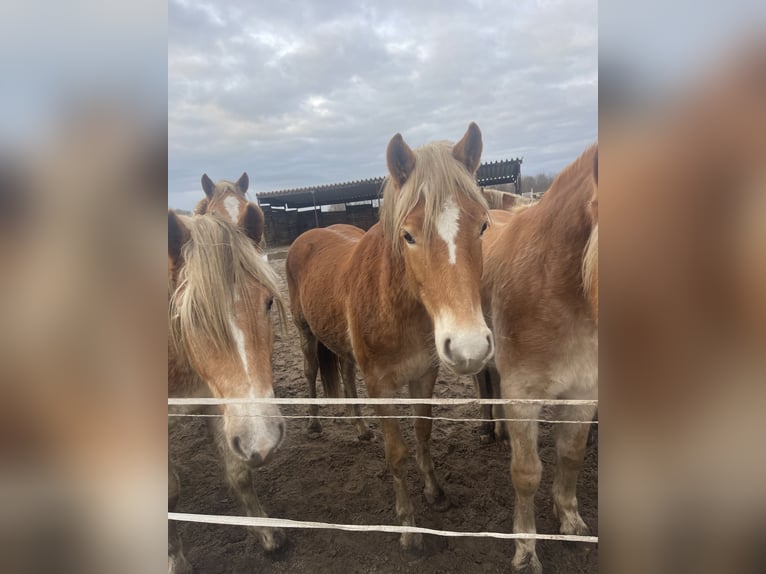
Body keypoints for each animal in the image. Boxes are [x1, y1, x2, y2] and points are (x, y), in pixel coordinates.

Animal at [168, 205, 288, 572]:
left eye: (268, 302)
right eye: (191, 318)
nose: (263, 440)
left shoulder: (215, 402)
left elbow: (239, 473)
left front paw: (266, 533)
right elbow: (168, 492)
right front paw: (175, 560)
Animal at [284, 122, 496, 552]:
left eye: (482, 225)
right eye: (408, 235)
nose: (468, 346)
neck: (397, 308)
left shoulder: (425, 375)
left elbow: (423, 432)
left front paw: (435, 493)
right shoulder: (380, 385)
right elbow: (397, 452)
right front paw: (408, 528)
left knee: (346, 377)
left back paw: (360, 429)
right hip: (305, 333)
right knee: (311, 372)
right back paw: (314, 424)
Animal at [480, 145, 600, 574]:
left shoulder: (583, 392)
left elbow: (571, 455)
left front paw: (570, 521)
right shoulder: (522, 396)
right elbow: (527, 473)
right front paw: (525, 550)